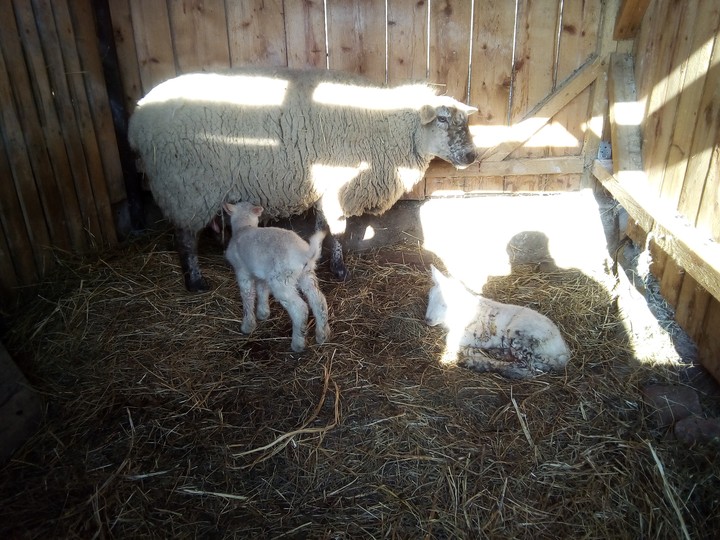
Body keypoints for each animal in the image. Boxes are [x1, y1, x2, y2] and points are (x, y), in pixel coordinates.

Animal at [127, 67, 478, 291]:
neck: (385, 126)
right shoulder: (341, 184)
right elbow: (338, 232)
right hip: (186, 186)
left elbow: (322, 227)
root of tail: (138, 118)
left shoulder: (326, 186)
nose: (472, 156)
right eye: (442, 119)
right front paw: (339, 269)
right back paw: (195, 281)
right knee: (184, 237)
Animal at [224, 201, 330, 353]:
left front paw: (248, 325)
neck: (244, 227)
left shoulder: (242, 271)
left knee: (300, 309)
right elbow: (262, 291)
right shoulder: (261, 274)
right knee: (318, 300)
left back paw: (298, 343)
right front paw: (263, 313)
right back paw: (322, 335)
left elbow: (247, 295)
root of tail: (302, 253)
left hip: (282, 280)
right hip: (306, 274)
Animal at [425, 265, 570, 379]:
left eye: (445, 304)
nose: (428, 320)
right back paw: (496, 353)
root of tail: (563, 352)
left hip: (522, 335)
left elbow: (451, 339)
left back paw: (476, 363)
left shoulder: (479, 335)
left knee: (525, 370)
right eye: (429, 297)